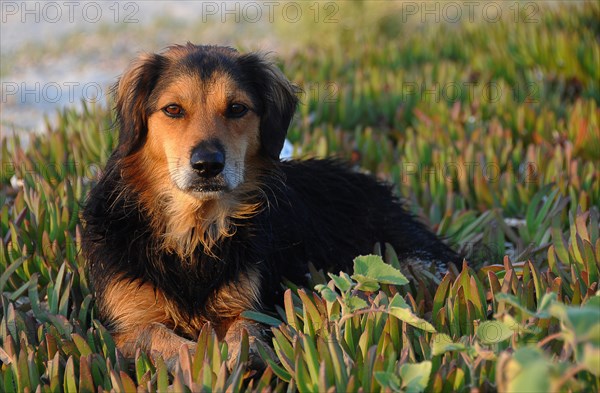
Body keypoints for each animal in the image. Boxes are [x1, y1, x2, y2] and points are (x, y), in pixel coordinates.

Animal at [82, 43, 460, 370]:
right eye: (173, 109)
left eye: (237, 108)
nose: (207, 164)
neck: (195, 231)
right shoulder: (127, 327)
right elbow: (163, 338)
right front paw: (205, 362)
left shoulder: (250, 307)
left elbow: (243, 333)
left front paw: (234, 360)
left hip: (408, 261)